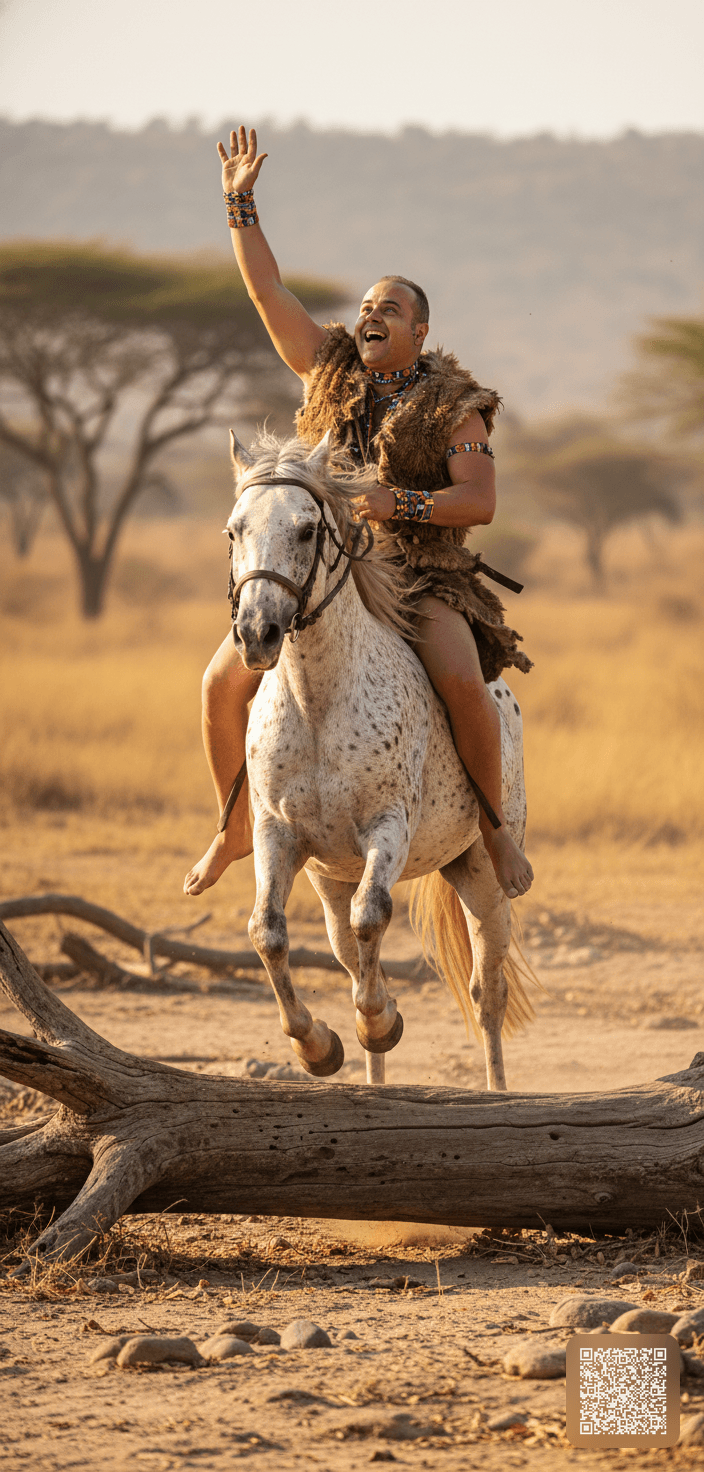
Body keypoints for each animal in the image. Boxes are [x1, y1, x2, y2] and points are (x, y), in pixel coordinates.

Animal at [226, 428, 535, 1090]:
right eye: (234, 530)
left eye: (307, 530)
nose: (257, 632)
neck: (319, 704)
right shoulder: (277, 833)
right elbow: (268, 934)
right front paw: (317, 1046)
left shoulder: (387, 828)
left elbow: (374, 916)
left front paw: (380, 1019)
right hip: (332, 878)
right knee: (349, 956)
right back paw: (372, 1082)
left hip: (481, 874)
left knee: (487, 990)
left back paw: (497, 1091)